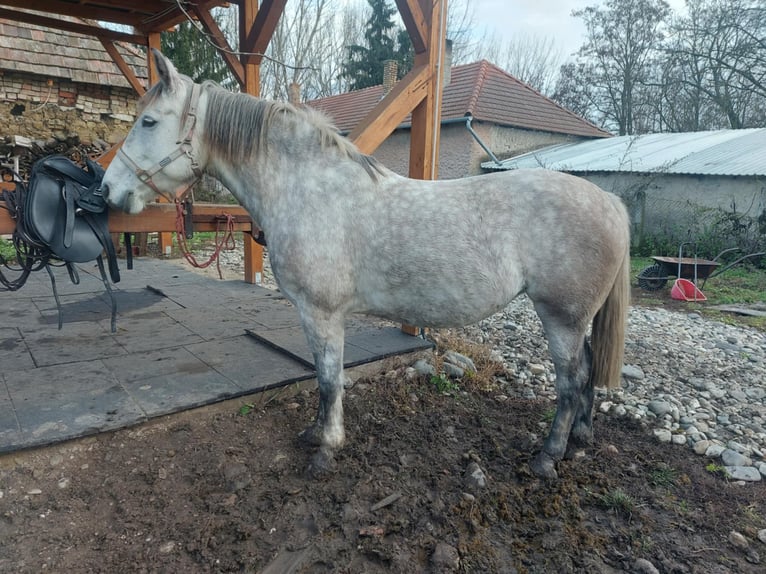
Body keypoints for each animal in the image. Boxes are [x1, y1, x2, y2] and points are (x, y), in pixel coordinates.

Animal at [102, 50, 632, 482]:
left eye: (148, 122)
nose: (108, 190)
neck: (308, 188)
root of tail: (609, 200)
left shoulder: (321, 312)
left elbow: (328, 378)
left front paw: (326, 449)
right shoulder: (313, 315)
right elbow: (323, 377)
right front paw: (314, 434)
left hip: (561, 317)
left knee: (571, 383)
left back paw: (547, 457)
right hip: (576, 319)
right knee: (586, 373)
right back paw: (579, 441)